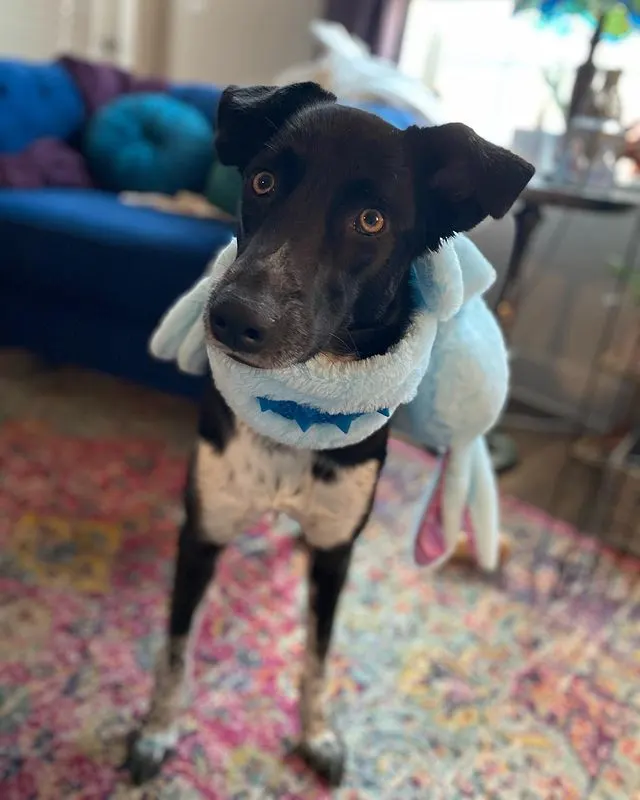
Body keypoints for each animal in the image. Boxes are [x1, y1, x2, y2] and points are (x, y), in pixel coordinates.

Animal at [126, 83, 536, 788]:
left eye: (370, 221)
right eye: (262, 181)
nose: (232, 318)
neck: (295, 413)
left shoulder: (336, 550)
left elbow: (318, 655)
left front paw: (316, 735)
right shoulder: (203, 531)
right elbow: (176, 647)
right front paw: (157, 732)